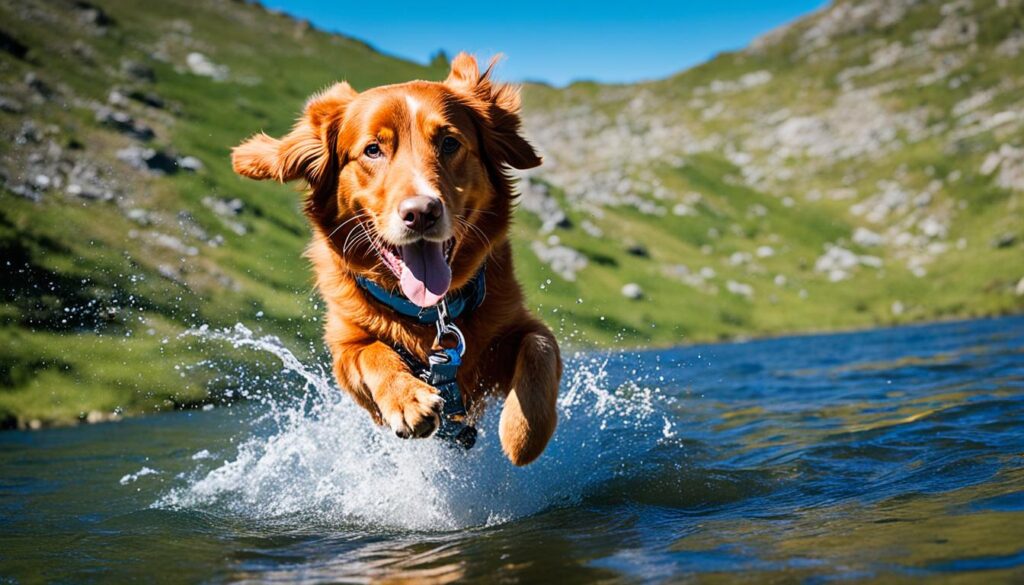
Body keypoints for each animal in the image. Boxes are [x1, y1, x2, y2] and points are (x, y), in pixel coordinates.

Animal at [234, 54, 561, 467]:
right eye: (373, 150)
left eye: (449, 142)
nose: (421, 213)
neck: (429, 314)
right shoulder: (345, 348)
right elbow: (372, 352)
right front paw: (407, 399)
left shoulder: (510, 325)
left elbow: (540, 347)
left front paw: (523, 433)